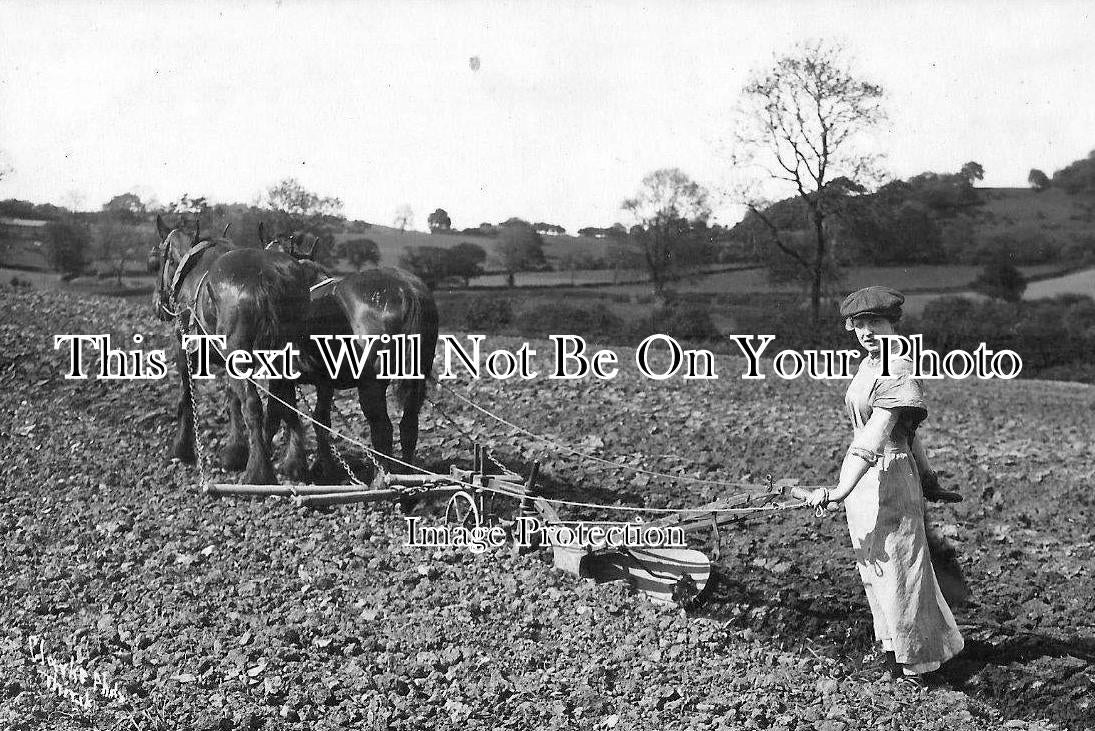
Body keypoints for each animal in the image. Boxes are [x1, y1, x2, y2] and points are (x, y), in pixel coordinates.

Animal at [151, 214, 313, 481]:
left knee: (253, 405)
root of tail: (268, 277)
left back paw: (257, 473)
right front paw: (235, 451)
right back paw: (293, 462)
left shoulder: (185, 350)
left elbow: (186, 399)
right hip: (282, 355)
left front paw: (181, 449)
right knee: (284, 403)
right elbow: (232, 401)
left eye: (160, 260)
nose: (157, 304)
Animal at [259, 226, 435, 479]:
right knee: (408, 425)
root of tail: (405, 288)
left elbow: (275, 415)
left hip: (371, 384)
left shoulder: (280, 374)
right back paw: (406, 473)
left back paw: (381, 479)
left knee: (383, 429)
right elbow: (320, 420)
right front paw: (324, 467)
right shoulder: (324, 382)